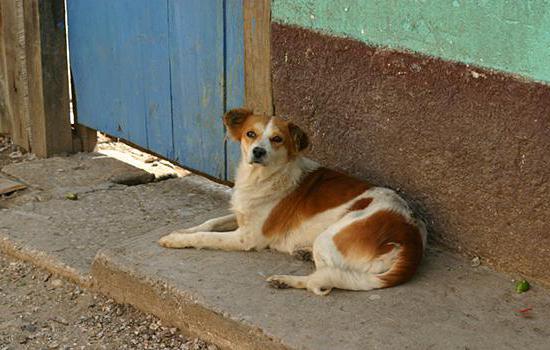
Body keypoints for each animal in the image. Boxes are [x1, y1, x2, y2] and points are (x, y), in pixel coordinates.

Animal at [157, 109, 430, 296]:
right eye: (250, 134)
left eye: (277, 139)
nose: (258, 151)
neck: (262, 177)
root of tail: (411, 237)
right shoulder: (244, 215)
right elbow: (210, 222)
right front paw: (183, 230)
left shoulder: (247, 238)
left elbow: (206, 237)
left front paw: (177, 239)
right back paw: (303, 253)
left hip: (331, 236)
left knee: (322, 283)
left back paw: (285, 279)